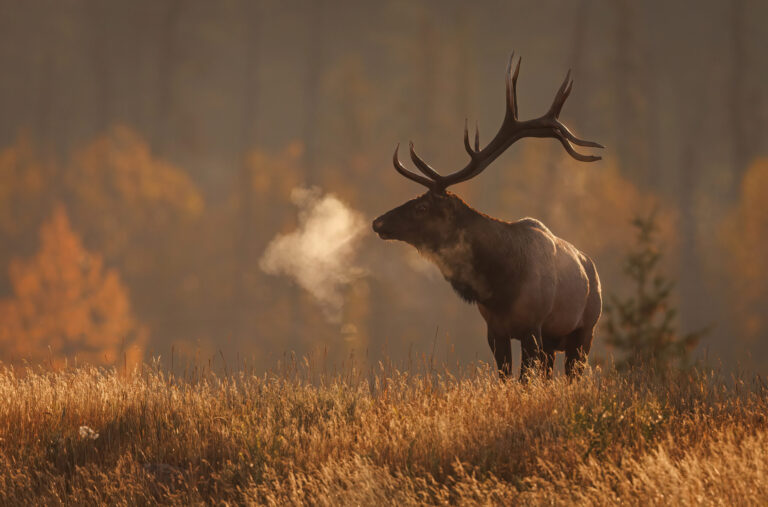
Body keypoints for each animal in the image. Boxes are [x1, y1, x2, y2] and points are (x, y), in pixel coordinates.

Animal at [372, 54, 603, 380]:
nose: (378, 221)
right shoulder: (495, 329)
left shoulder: (533, 328)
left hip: (585, 332)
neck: (501, 285)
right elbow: (506, 377)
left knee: (572, 374)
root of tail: (592, 269)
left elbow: (523, 380)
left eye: (422, 208)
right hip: (554, 342)